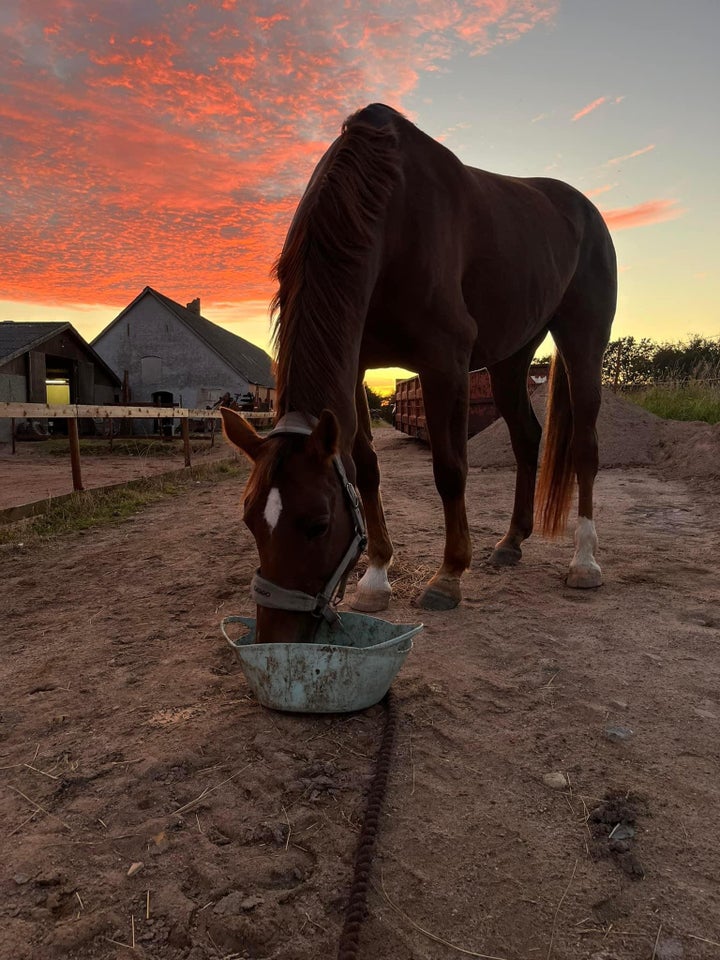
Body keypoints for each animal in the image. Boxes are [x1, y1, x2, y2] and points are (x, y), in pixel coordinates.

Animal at [222, 103, 616, 644]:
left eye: (318, 523)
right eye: (250, 520)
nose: (276, 636)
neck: (391, 213)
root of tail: (586, 211)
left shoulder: (444, 362)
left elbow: (450, 470)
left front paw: (448, 577)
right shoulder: (358, 365)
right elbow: (366, 469)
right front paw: (376, 577)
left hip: (583, 342)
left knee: (585, 448)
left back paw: (584, 562)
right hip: (510, 359)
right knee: (526, 438)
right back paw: (511, 542)